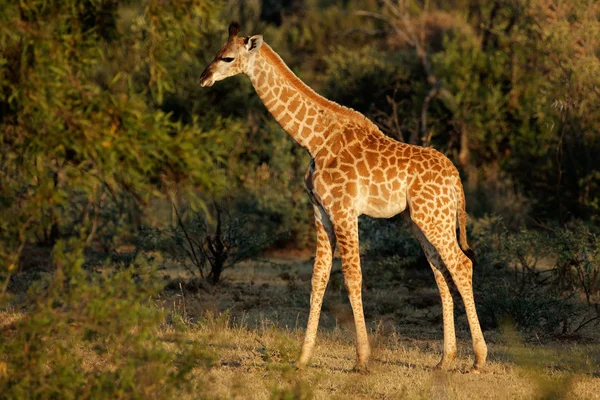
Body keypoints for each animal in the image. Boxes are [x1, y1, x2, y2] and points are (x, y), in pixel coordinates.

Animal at [202, 21, 488, 372]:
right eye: (217, 52)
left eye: (227, 58)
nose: (204, 77)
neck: (314, 140)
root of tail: (456, 178)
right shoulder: (320, 211)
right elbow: (318, 278)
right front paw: (302, 358)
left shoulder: (343, 209)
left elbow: (352, 277)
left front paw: (362, 359)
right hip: (422, 221)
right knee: (441, 272)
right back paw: (445, 359)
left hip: (434, 218)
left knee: (461, 265)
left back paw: (478, 359)